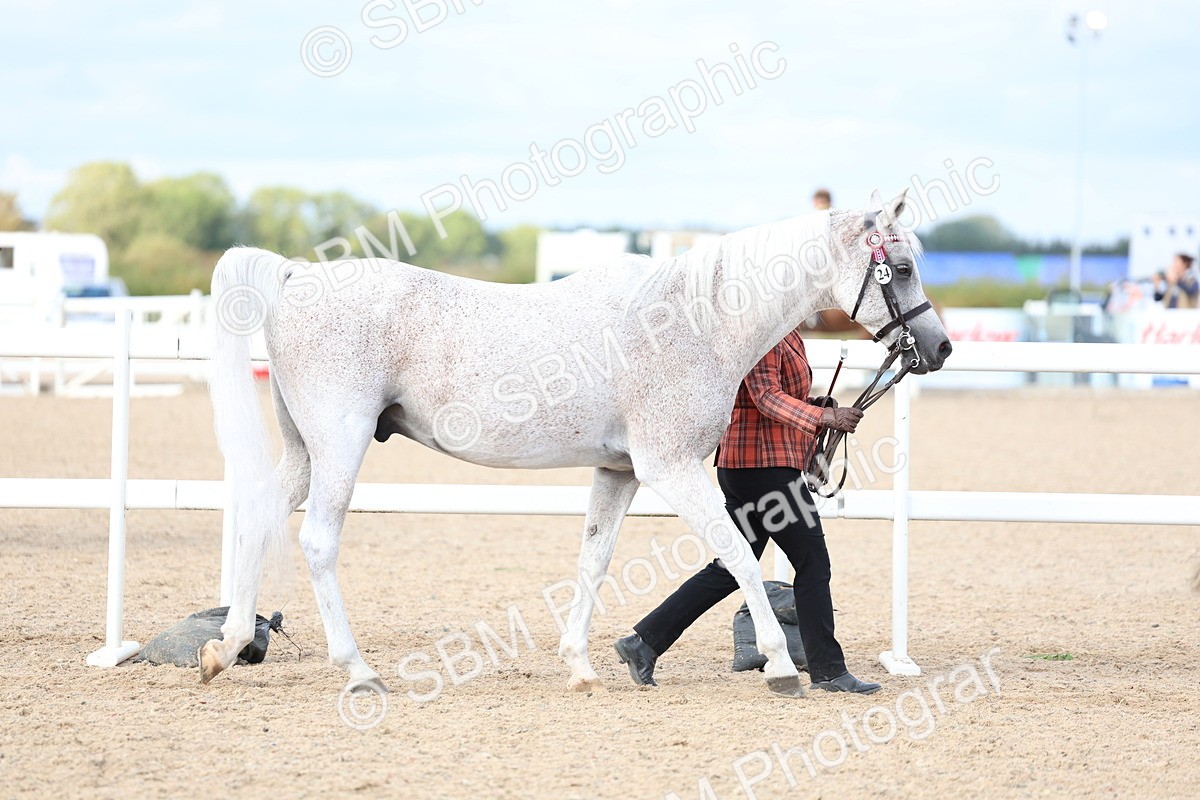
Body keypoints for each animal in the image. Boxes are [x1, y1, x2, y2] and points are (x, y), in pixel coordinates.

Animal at [199, 190, 952, 698]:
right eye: (902, 266)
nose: (940, 347)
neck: (694, 319)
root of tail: (294, 275)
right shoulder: (672, 468)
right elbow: (737, 554)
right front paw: (780, 663)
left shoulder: (620, 472)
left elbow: (594, 559)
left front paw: (583, 665)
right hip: (342, 445)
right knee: (318, 541)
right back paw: (358, 671)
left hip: (305, 450)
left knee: (260, 516)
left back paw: (226, 647)